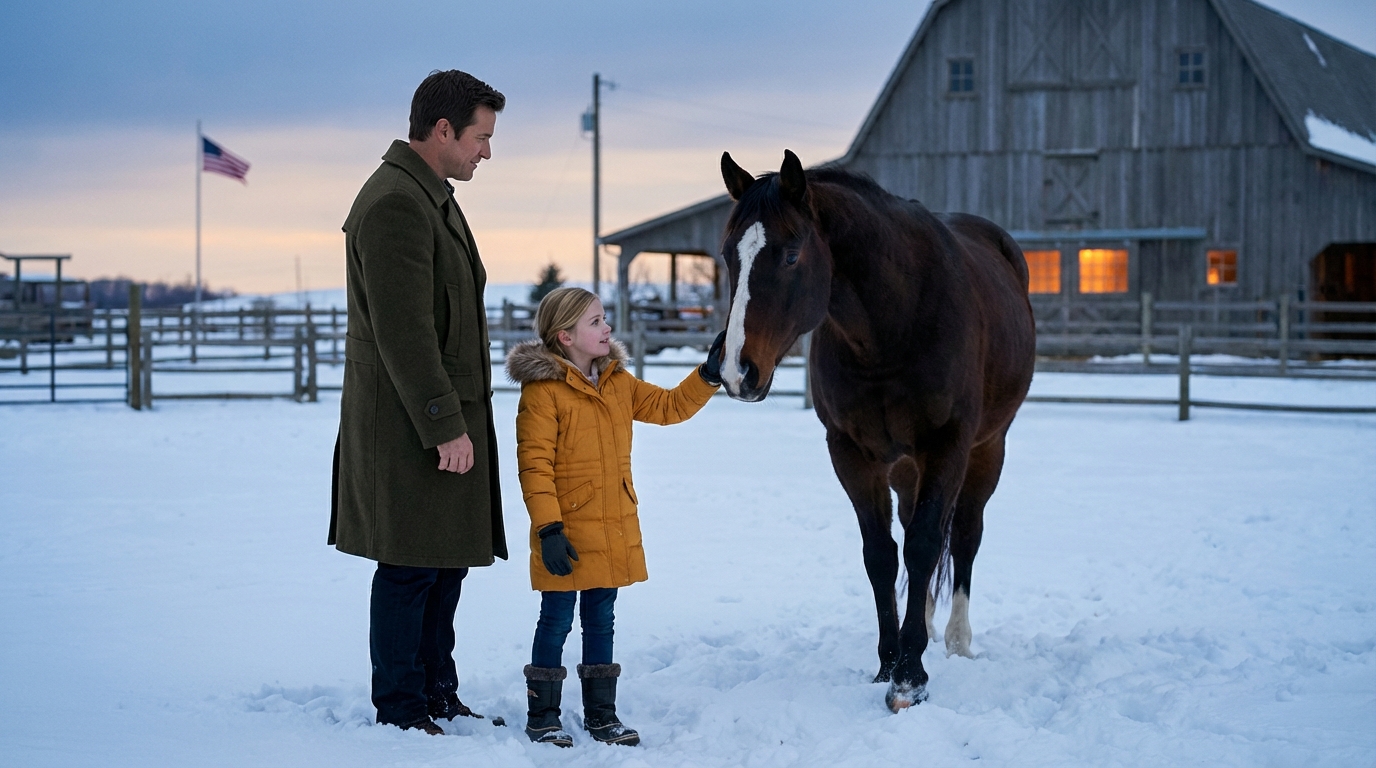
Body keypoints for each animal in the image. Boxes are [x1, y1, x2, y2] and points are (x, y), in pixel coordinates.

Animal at [716, 150, 1036, 711]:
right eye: (729, 257)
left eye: (792, 255)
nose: (736, 371)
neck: (894, 324)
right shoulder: (851, 452)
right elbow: (882, 555)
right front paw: (890, 662)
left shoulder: (947, 445)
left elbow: (927, 544)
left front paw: (910, 679)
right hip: (906, 467)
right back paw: (921, 623)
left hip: (986, 449)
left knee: (965, 534)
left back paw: (956, 639)